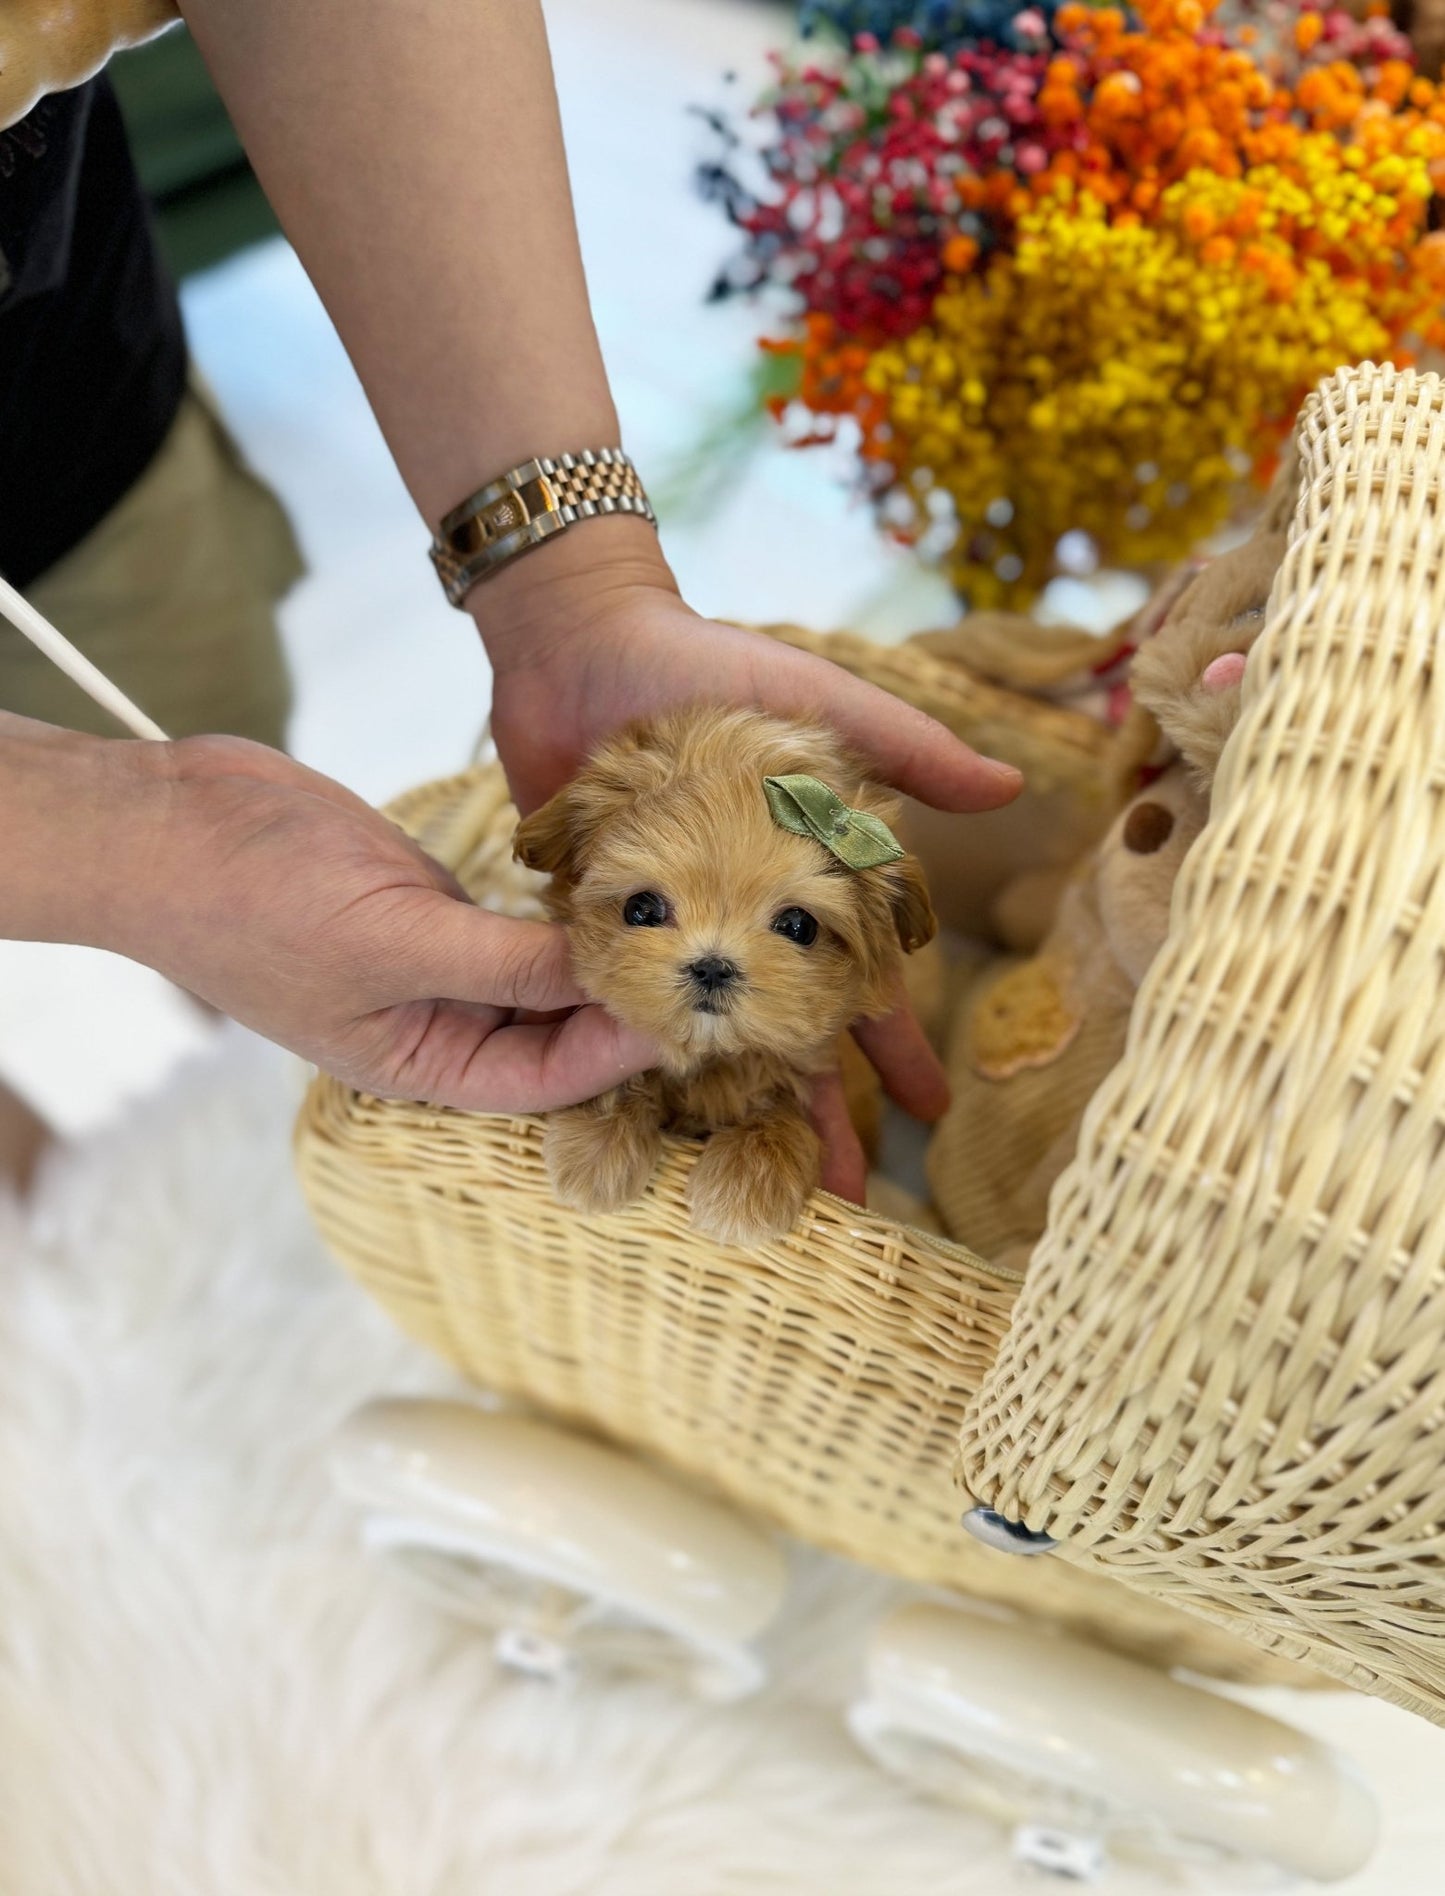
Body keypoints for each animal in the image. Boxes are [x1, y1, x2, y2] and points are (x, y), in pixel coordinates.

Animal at [515, 705, 932, 1251]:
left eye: (798, 925)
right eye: (641, 909)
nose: (713, 965)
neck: (713, 1058)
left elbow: (782, 1105)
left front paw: (748, 1183)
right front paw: (597, 1144)